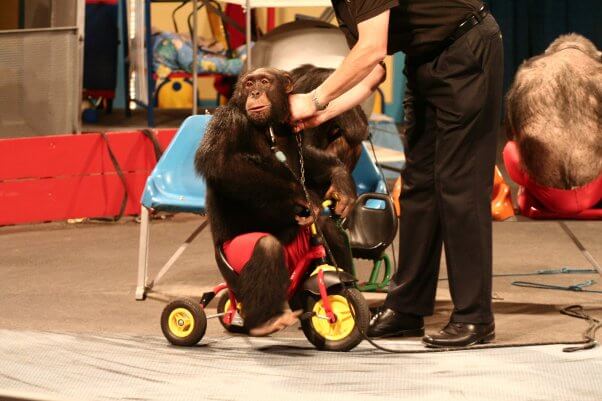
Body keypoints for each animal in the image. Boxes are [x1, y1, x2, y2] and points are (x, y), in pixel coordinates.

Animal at [195, 68, 354, 334]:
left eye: (264, 81)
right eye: (249, 84)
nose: (256, 93)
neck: (267, 127)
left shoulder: (294, 129)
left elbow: (306, 157)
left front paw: (341, 182)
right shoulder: (226, 122)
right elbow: (220, 162)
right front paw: (304, 196)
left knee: (328, 230)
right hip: (232, 261)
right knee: (266, 247)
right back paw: (265, 320)